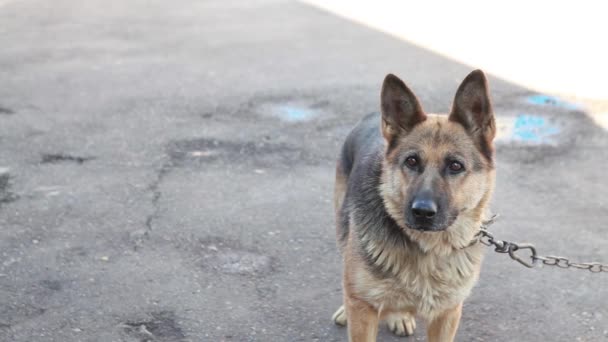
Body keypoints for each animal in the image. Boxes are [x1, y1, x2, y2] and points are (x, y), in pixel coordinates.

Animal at [332, 70, 494, 342]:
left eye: (456, 166)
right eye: (411, 161)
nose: (422, 212)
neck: (429, 249)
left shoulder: (447, 314)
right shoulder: (363, 311)